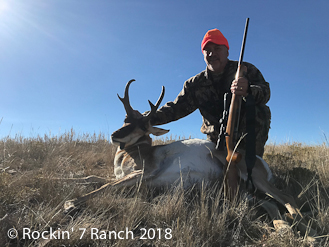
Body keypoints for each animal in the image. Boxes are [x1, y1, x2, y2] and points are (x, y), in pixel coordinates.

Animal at [63, 79, 316, 237]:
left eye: (144, 125)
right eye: (126, 119)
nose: (115, 135)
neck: (136, 152)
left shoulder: (141, 173)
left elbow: (103, 187)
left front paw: (70, 203)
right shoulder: (120, 176)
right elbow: (92, 178)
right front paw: (64, 179)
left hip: (253, 179)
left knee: (286, 197)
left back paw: (305, 226)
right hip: (244, 192)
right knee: (270, 204)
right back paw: (286, 229)